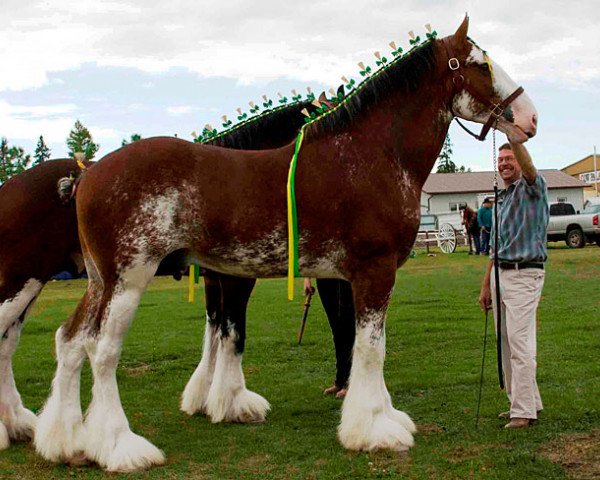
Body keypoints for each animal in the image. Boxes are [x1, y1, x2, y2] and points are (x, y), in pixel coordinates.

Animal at [32, 16, 540, 470]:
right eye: (478, 64)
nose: (530, 117)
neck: (371, 155)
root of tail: (88, 174)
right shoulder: (372, 272)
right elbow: (370, 347)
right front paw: (372, 429)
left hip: (100, 282)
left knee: (70, 340)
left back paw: (64, 441)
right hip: (127, 280)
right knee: (101, 351)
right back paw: (120, 448)